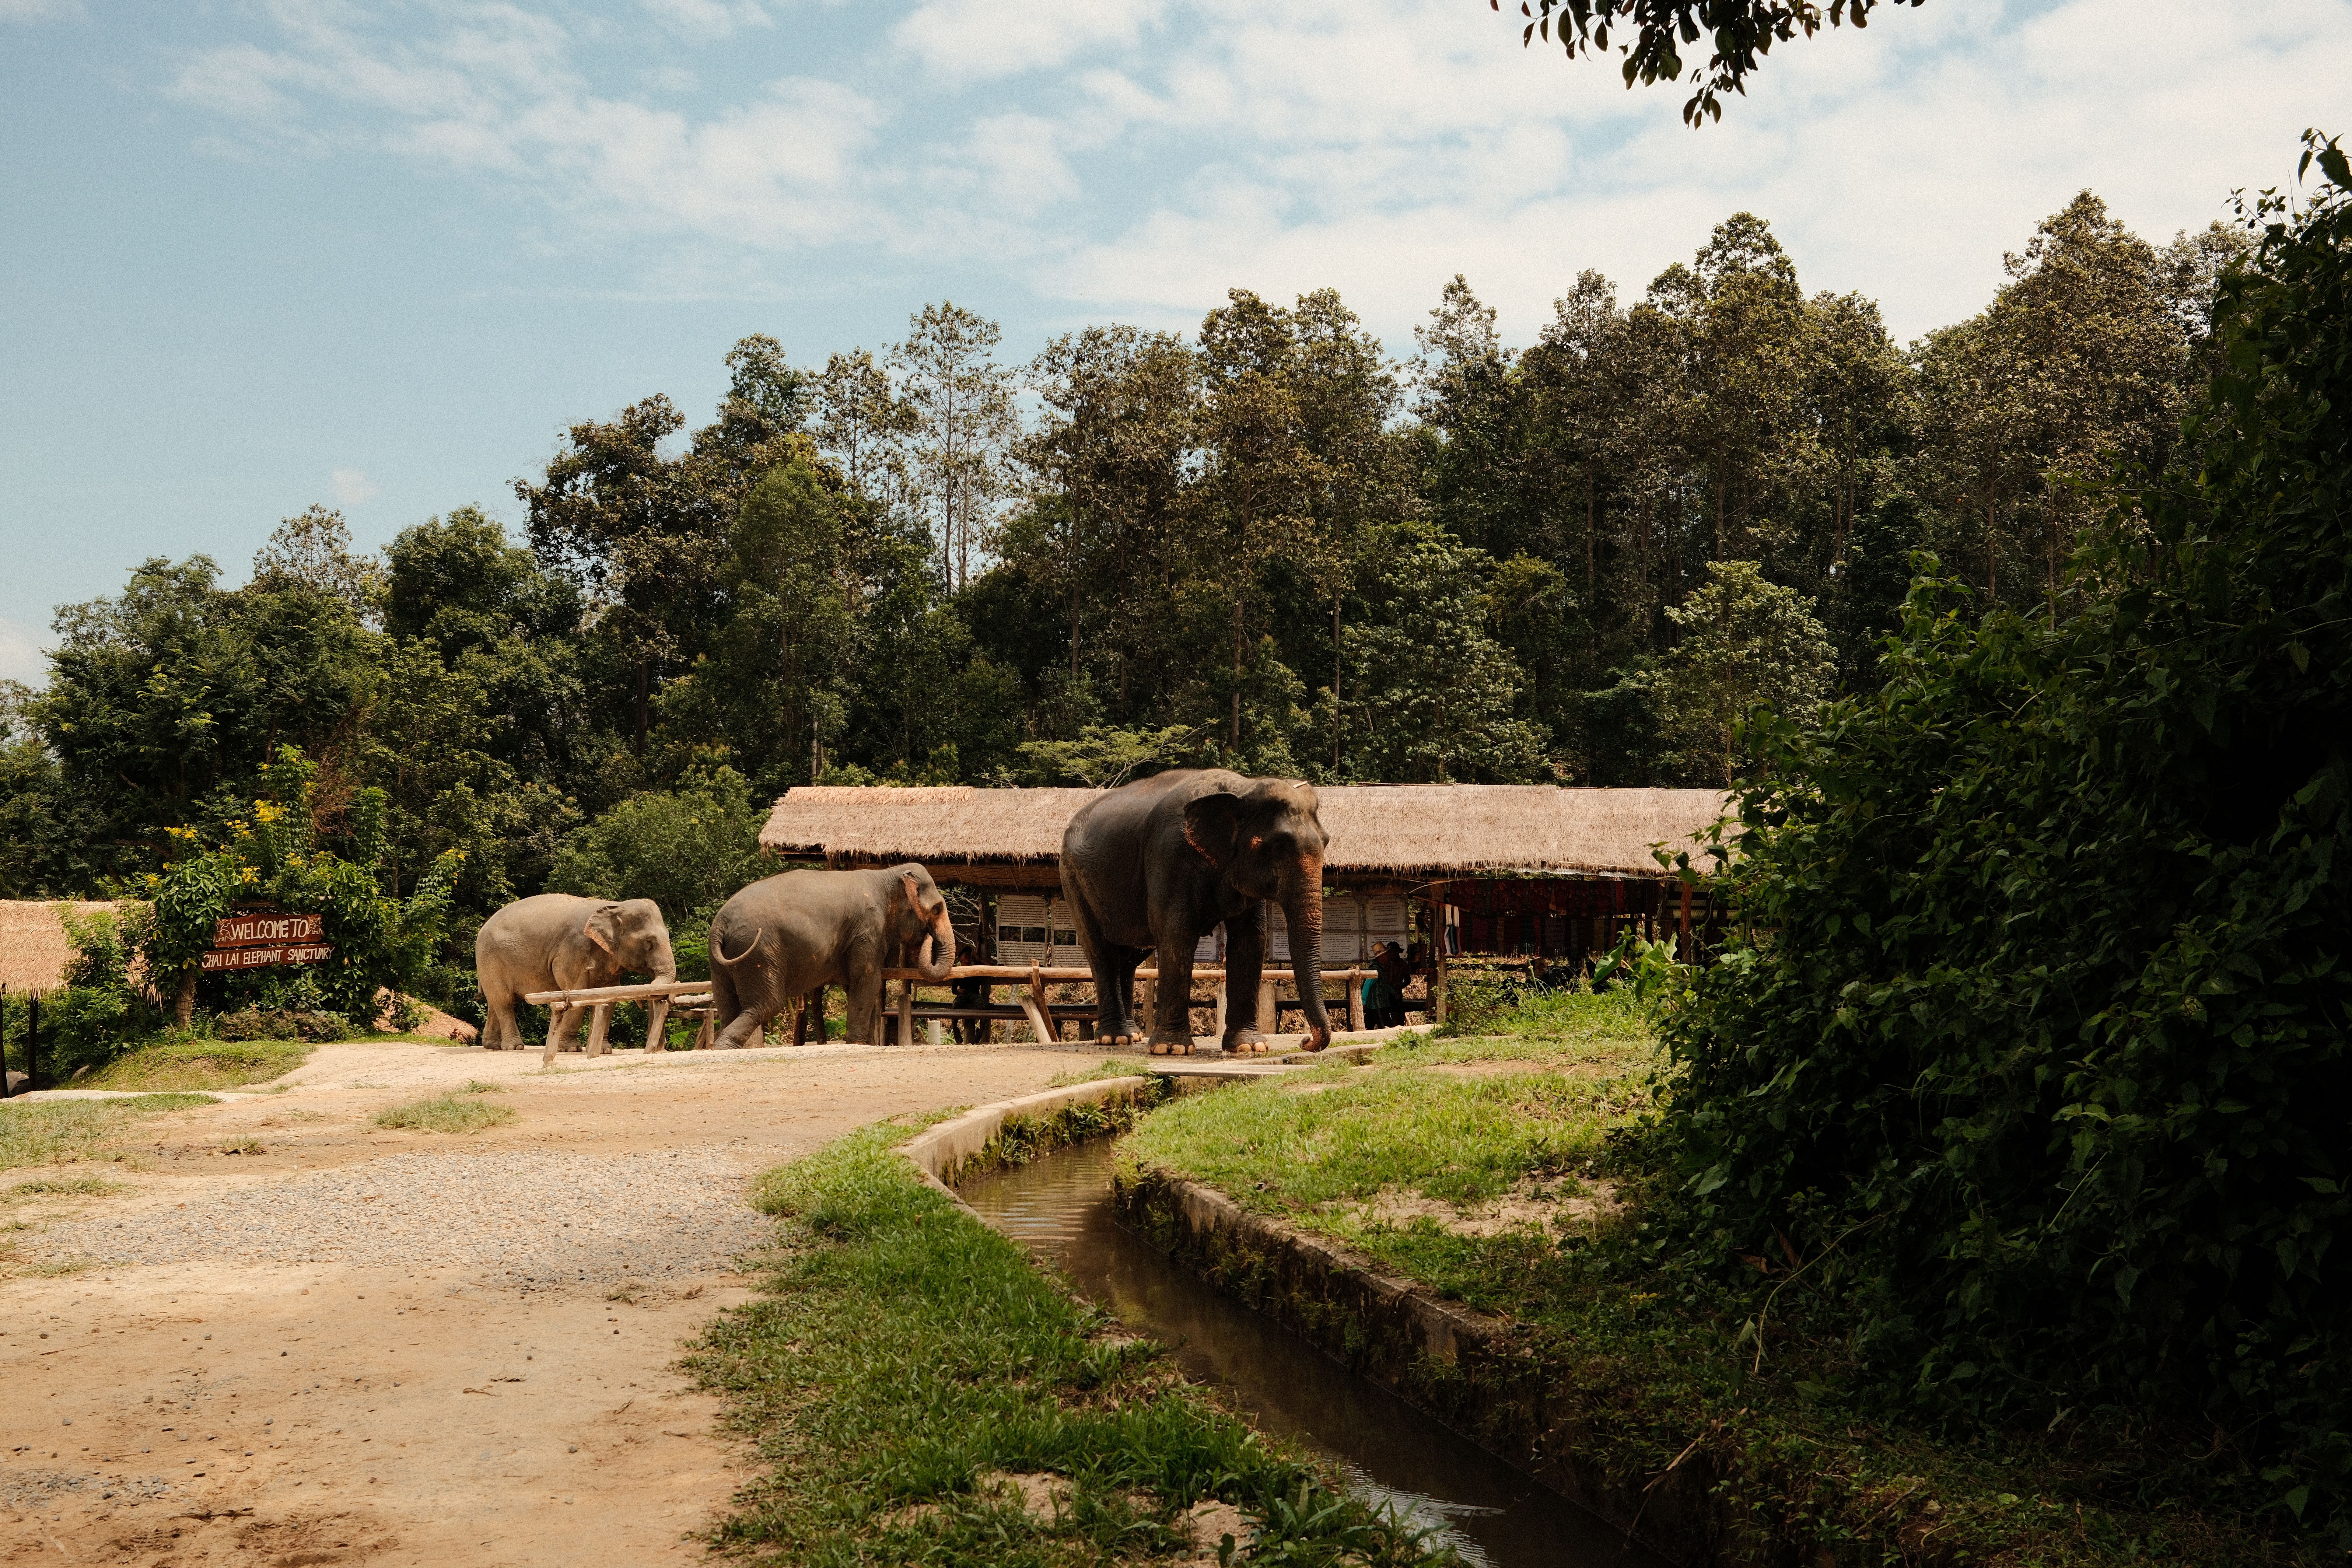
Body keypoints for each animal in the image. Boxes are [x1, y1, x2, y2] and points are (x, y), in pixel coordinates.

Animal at [474, 894, 678, 1051]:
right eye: (649, 942)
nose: (642, 1002)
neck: (615, 905)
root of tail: (484, 926)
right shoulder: (572, 950)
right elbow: (577, 992)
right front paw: (571, 1049)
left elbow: (608, 998)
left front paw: (603, 1050)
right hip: (490, 958)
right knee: (504, 1002)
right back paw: (514, 1047)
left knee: (495, 1002)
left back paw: (493, 1046)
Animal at [706, 864, 957, 1049]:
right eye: (937, 909)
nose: (928, 936)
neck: (886, 875)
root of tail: (720, 924)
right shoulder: (868, 928)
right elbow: (868, 980)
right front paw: (859, 1044)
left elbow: (856, 985)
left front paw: (866, 1043)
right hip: (759, 950)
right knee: (767, 1004)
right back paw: (725, 1046)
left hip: (723, 960)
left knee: (727, 1003)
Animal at [1059, 769, 1331, 1056]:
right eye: (1278, 845)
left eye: (1327, 842)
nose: (1306, 1042)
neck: (1243, 787)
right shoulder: (1170, 855)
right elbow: (1177, 933)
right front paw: (1172, 1049)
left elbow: (1251, 940)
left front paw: (1249, 1047)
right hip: (1073, 879)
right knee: (1102, 951)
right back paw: (1114, 1038)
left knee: (1129, 957)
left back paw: (1130, 1036)